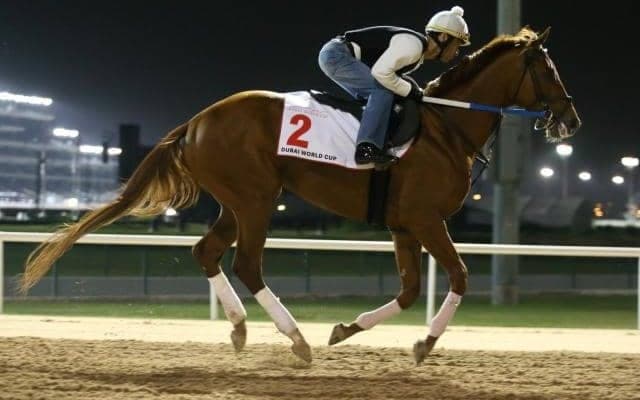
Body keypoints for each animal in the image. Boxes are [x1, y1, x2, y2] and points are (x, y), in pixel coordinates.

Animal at [20, 27, 580, 364]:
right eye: (549, 70)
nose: (570, 119)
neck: (447, 127)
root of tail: (196, 121)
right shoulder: (426, 219)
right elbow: (460, 277)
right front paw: (424, 342)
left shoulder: (404, 225)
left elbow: (408, 291)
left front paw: (347, 329)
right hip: (255, 199)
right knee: (247, 265)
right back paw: (296, 339)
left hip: (238, 201)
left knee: (207, 252)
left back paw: (242, 329)